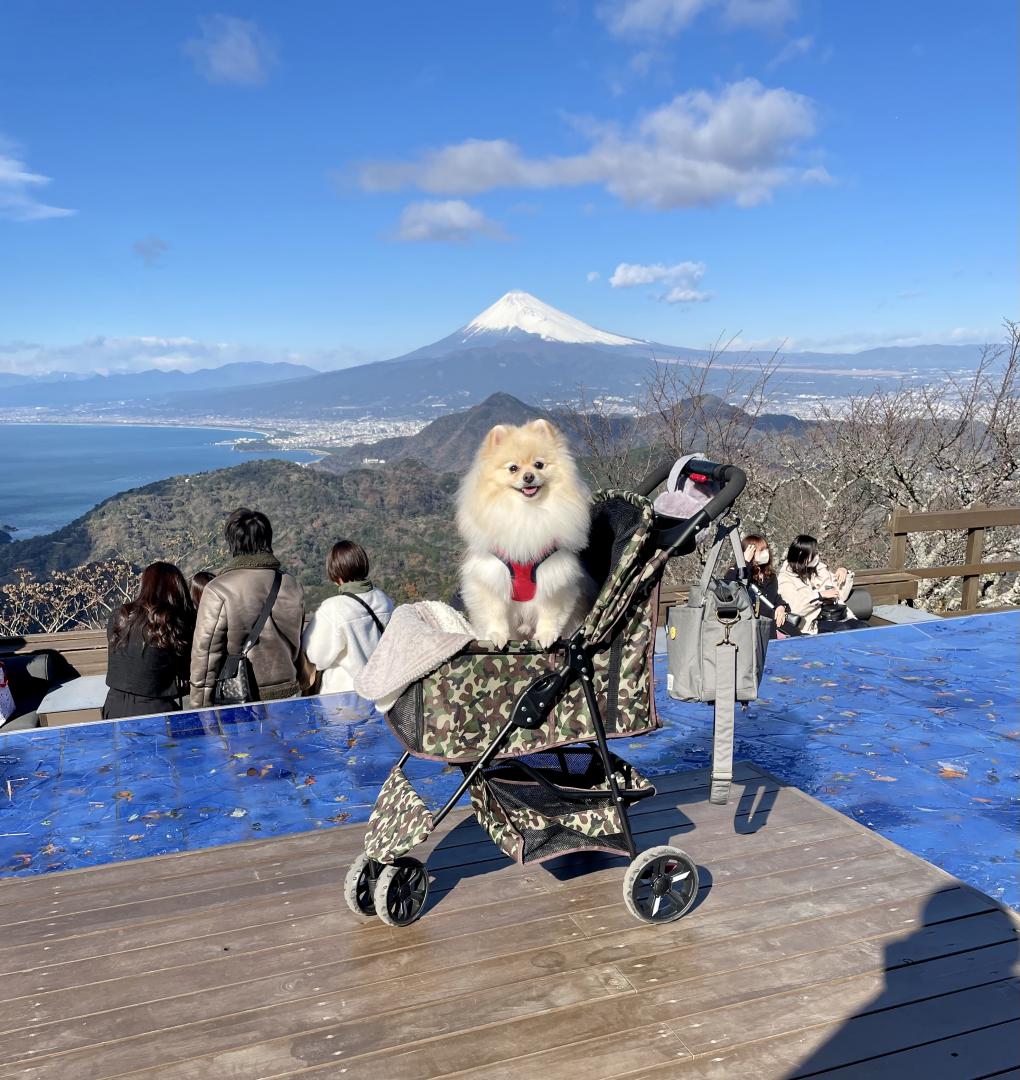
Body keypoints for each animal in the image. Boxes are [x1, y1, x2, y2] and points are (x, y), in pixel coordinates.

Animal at [458, 416, 592, 643]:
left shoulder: (553, 577)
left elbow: (549, 612)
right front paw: (497, 635)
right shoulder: (492, 577)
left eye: (539, 464)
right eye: (513, 468)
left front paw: (546, 635)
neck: (527, 512)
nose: (528, 476)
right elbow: (495, 612)